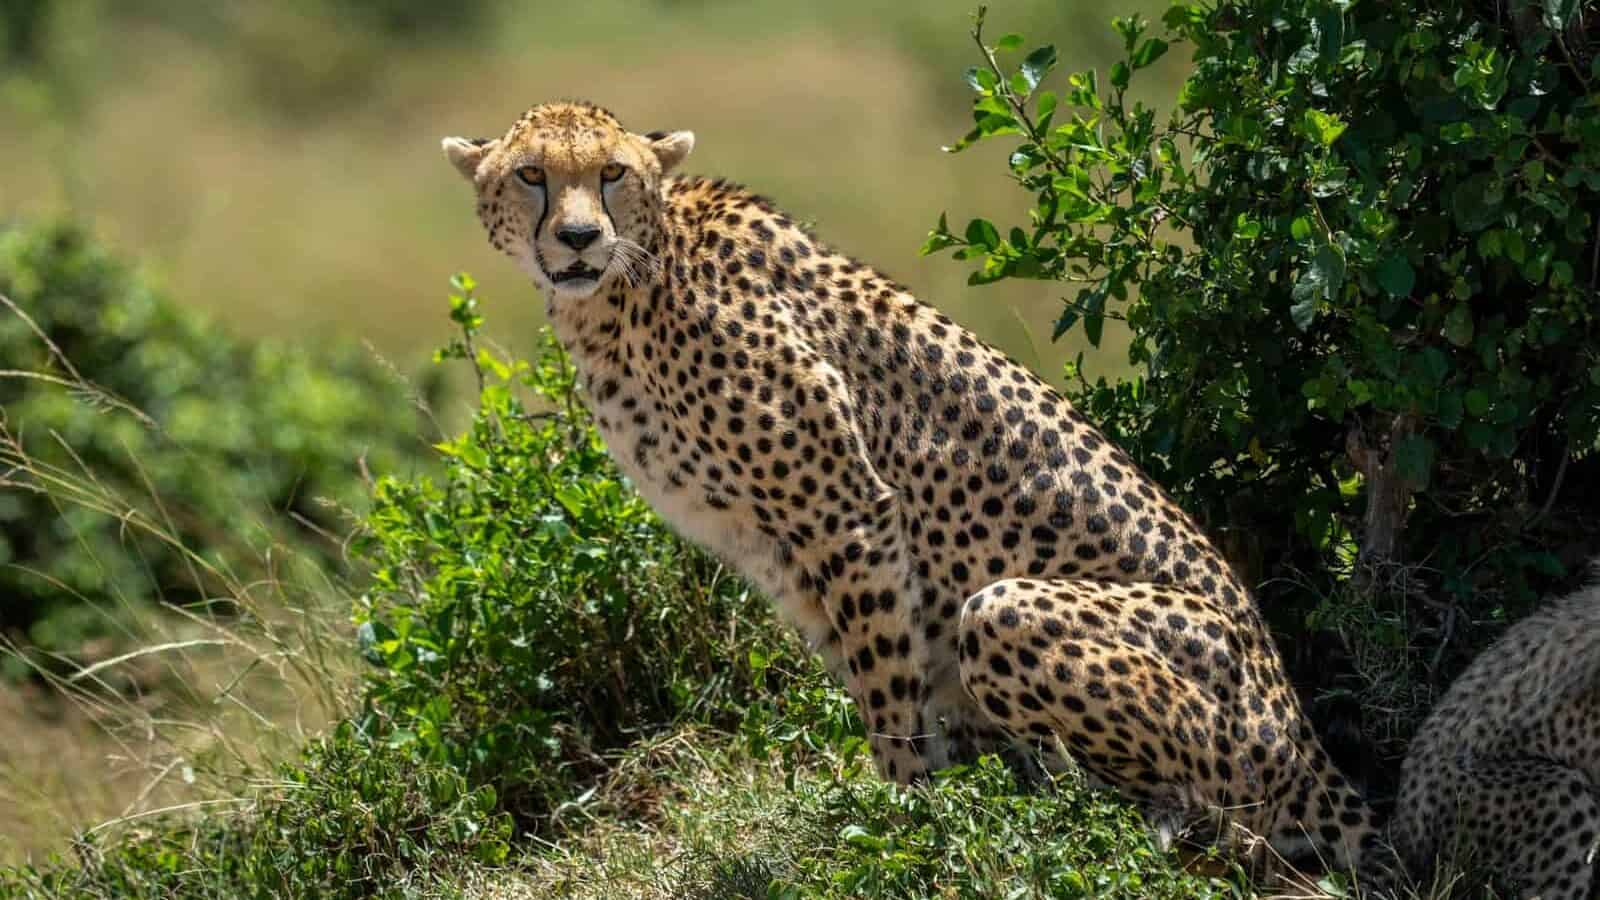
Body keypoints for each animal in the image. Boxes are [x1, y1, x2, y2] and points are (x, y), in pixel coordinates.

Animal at [439, 99, 1389, 875]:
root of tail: (1298, 727)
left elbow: (888, 694)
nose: (577, 239)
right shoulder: (789, 551)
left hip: (1019, 616)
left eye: (612, 173)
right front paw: (942, 802)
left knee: (1218, 817)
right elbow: (880, 673)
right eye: (531, 175)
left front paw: (903, 826)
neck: (629, 285)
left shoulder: (845, 510)